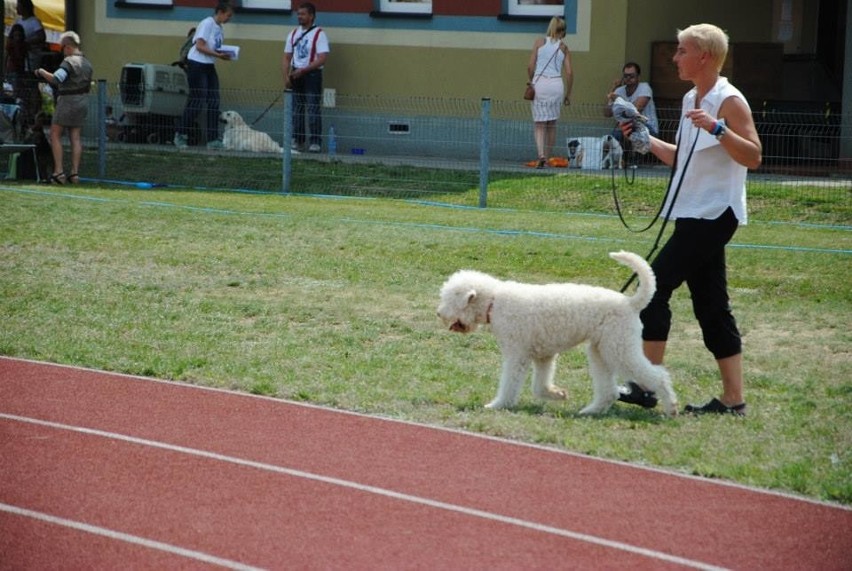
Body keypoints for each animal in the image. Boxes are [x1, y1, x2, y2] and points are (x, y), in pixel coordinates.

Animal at [436, 250, 676, 416]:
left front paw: (497, 405)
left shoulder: (517, 356)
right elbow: (539, 386)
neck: (494, 302)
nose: (439, 313)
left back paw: (671, 408)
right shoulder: (544, 356)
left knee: (659, 376)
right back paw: (590, 411)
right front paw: (558, 394)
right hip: (600, 352)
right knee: (609, 391)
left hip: (620, 349)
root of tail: (631, 303)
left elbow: (510, 384)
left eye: (449, 298)